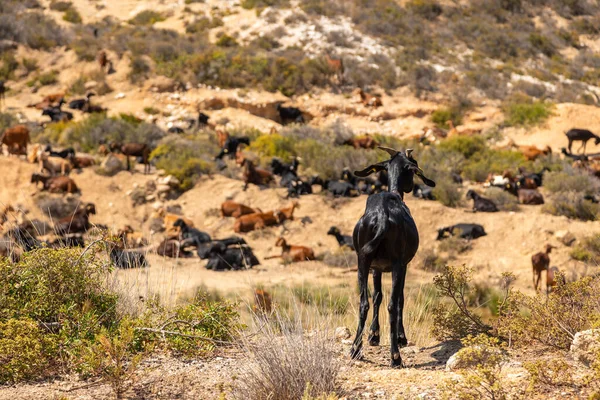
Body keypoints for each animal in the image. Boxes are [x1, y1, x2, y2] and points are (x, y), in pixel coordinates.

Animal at [350, 146, 434, 366]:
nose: (411, 187)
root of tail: (381, 216)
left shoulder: (376, 268)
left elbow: (377, 296)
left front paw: (373, 335)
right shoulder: (403, 265)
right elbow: (399, 299)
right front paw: (401, 338)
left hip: (362, 262)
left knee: (364, 302)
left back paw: (355, 349)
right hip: (396, 265)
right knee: (392, 305)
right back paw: (395, 356)